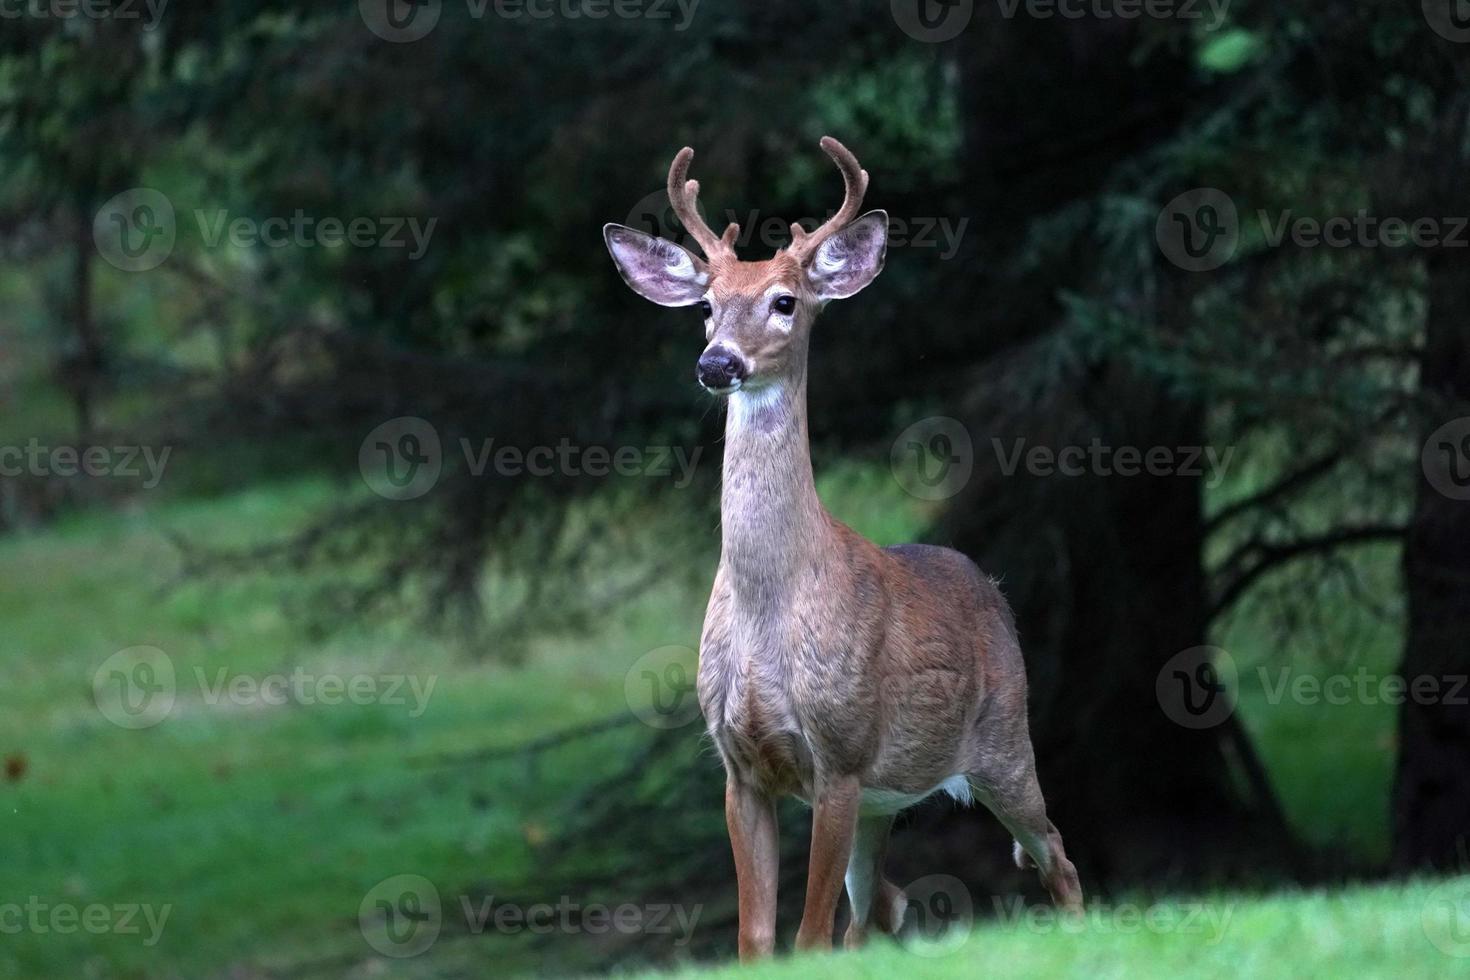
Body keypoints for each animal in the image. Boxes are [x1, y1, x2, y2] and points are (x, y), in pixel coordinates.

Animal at [602, 135, 1087, 957]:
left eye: (786, 301)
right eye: (705, 307)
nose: (717, 363)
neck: (770, 609)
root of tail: (989, 584)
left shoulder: (842, 753)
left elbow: (806, 936)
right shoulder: (740, 767)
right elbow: (758, 938)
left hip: (1002, 743)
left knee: (1056, 851)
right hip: (887, 804)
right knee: (879, 907)